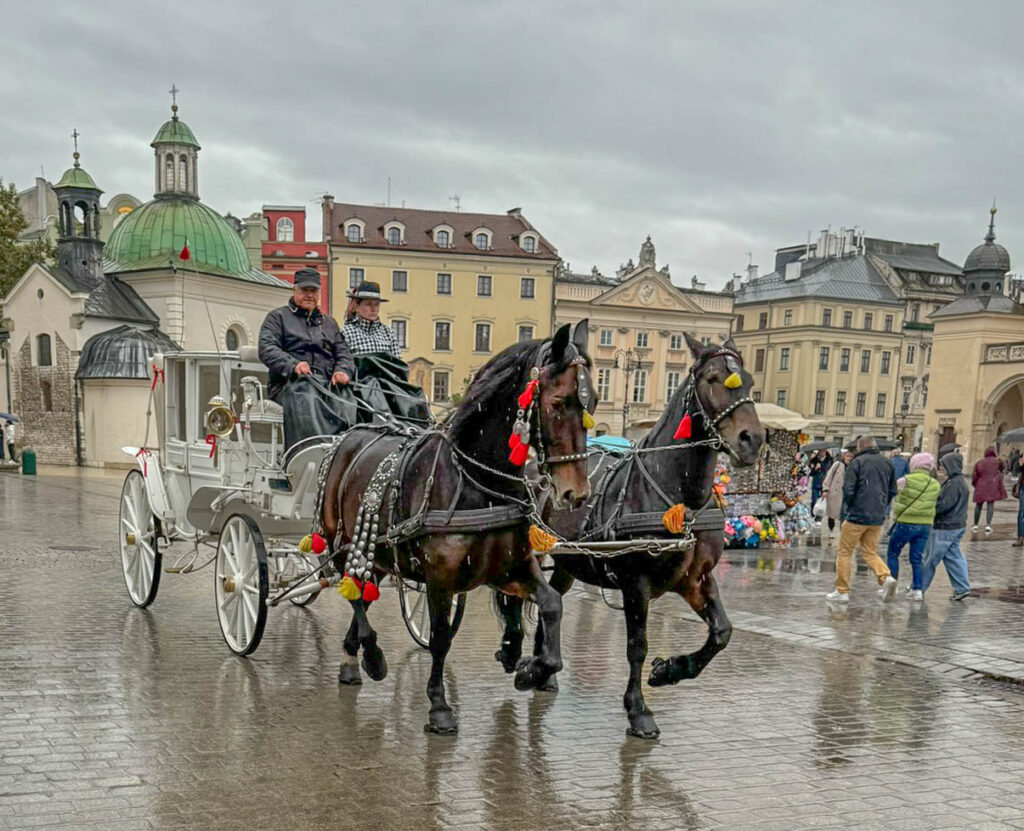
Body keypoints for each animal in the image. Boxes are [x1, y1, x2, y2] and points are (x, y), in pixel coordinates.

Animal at [319, 325, 593, 732]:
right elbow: (440, 639)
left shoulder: (511, 568)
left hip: (376, 556)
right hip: (341, 544)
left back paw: (352, 657)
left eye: (592, 405)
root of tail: (350, 434)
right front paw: (438, 705)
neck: (478, 483)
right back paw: (371, 655)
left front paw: (530, 668)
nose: (576, 493)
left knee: (363, 594)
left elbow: (551, 605)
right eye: (559, 403)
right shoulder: (439, 579)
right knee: (354, 597)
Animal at [491, 333, 765, 736]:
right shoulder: (637, 584)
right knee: (513, 595)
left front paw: (670, 670)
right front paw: (638, 709)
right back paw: (518, 656)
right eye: (713, 379)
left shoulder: (696, 578)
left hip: (568, 561)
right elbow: (637, 646)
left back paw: (541, 669)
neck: (679, 498)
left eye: (748, 382)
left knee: (547, 600)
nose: (752, 440)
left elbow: (722, 633)